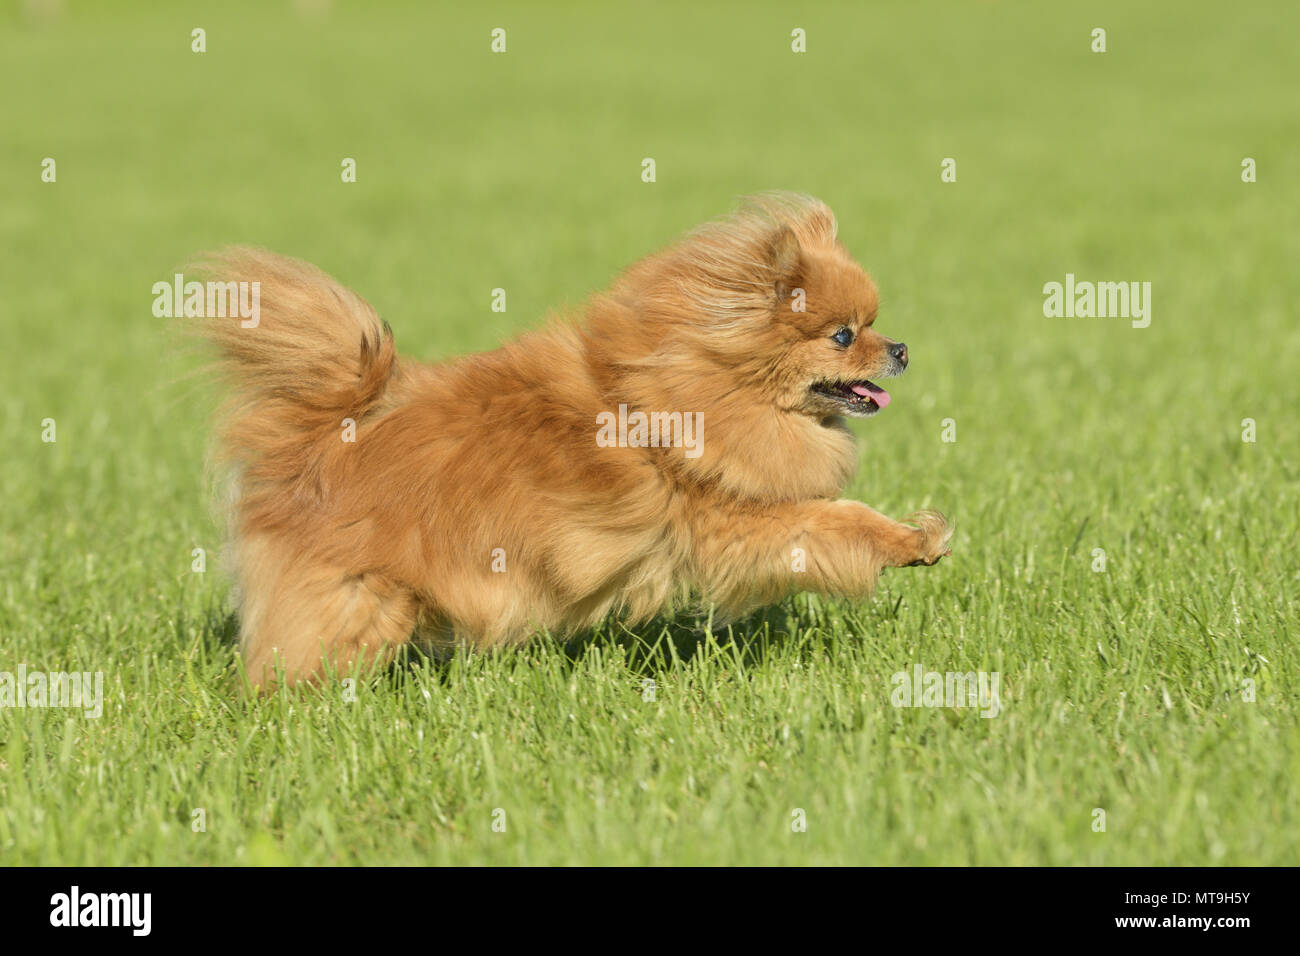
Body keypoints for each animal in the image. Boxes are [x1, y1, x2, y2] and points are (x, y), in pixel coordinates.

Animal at [195, 192, 956, 686]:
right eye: (843, 336)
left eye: (874, 324)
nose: (903, 349)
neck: (696, 384)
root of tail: (320, 437)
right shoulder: (734, 523)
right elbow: (839, 521)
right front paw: (913, 541)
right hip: (359, 600)